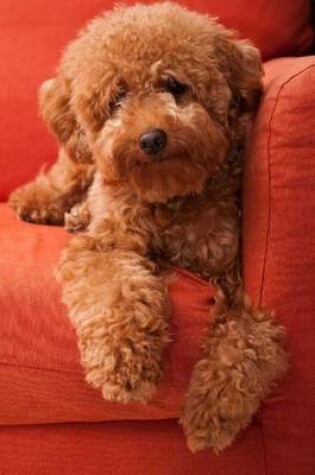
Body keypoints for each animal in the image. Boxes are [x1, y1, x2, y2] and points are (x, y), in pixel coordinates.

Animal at [9, 0, 288, 454]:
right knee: (65, 178)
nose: (152, 138)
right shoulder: (105, 247)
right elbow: (116, 291)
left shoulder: (231, 277)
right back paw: (41, 205)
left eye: (174, 85)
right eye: (117, 97)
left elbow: (247, 338)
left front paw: (212, 413)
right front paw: (125, 366)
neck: (168, 195)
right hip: (80, 163)